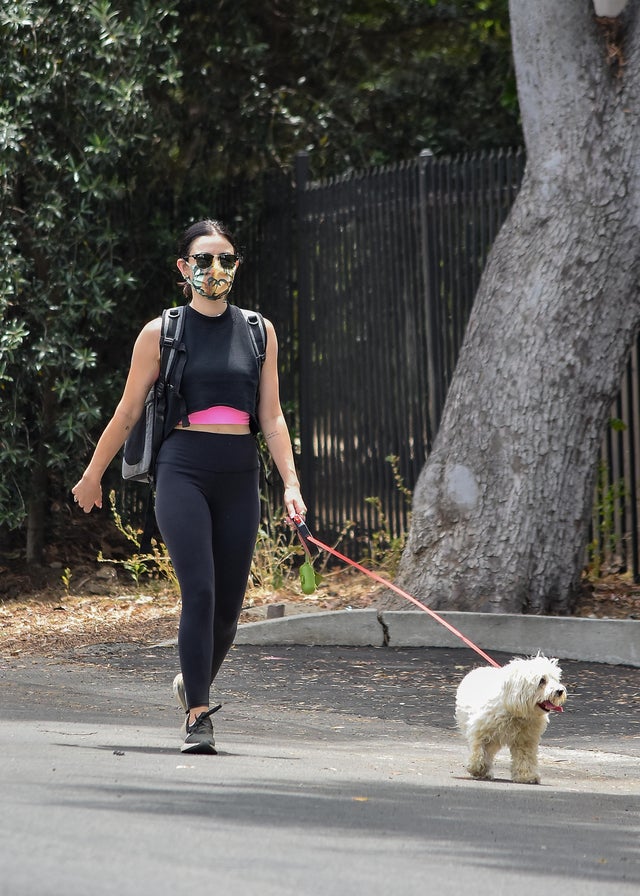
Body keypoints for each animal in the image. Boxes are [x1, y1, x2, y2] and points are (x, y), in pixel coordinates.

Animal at [456, 652, 564, 784]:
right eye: (542, 680)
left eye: (555, 679)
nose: (560, 691)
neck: (514, 712)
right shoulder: (480, 731)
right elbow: (479, 750)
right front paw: (477, 768)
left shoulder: (525, 741)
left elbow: (525, 758)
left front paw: (527, 776)